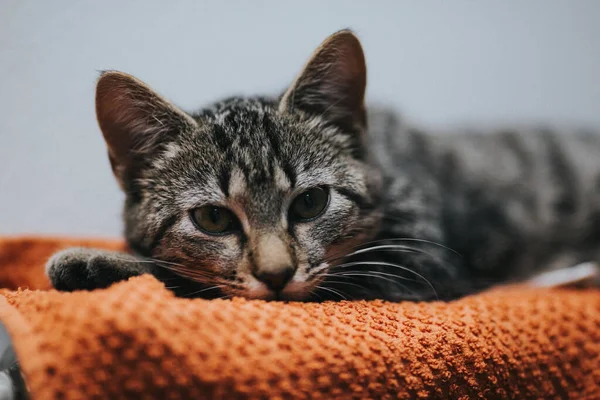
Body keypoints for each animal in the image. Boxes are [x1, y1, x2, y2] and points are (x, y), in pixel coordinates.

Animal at [45, 29, 600, 302]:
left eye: (311, 202)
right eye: (213, 218)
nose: (275, 274)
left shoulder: (416, 266)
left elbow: (190, 280)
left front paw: (96, 262)